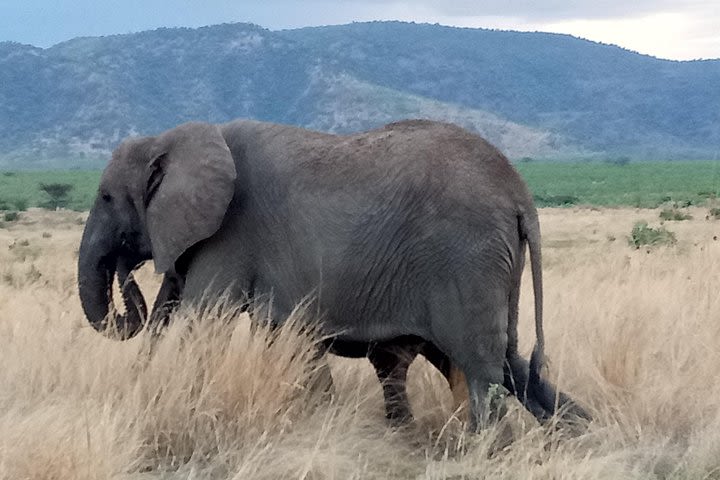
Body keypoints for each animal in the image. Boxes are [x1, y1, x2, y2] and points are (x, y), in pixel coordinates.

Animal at [77, 119, 584, 432]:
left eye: (105, 198)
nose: (128, 279)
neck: (176, 137)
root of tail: (519, 194)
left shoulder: (229, 235)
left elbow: (205, 324)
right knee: (513, 366)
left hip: (467, 258)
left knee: (482, 370)